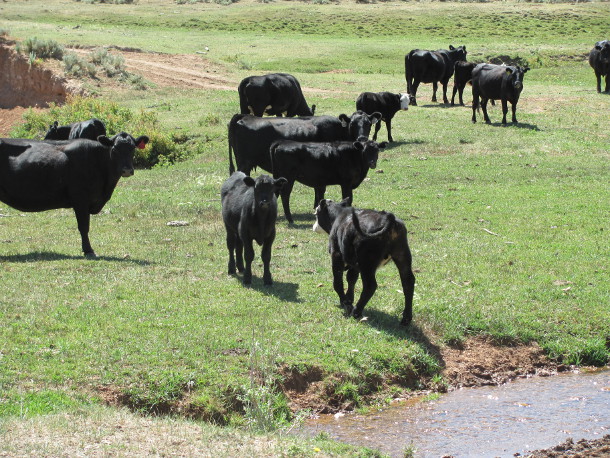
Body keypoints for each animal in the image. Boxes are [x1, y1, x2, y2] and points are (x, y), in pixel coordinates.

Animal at [314, 197, 414, 326]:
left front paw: (345, 303)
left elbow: (338, 283)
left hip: (367, 264)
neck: (339, 216)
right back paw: (406, 318)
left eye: (316, 214)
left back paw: (356, 311)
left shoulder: (336, 256)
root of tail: (388, 219)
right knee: (408, 282)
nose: (314, 227)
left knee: (370, 286)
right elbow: (351, 278)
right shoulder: (354, 264)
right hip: (402, 256)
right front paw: (349, 299)